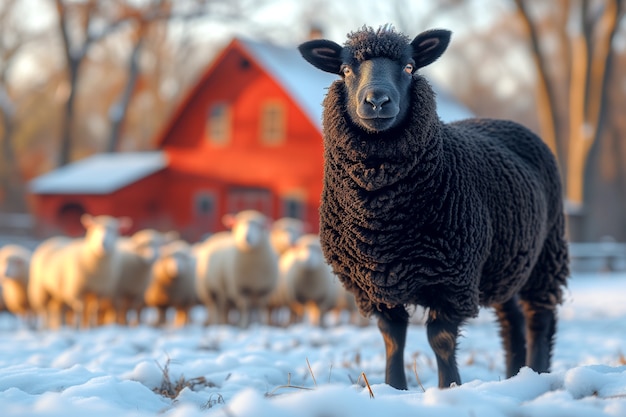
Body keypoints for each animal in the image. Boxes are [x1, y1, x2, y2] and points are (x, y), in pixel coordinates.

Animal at [296, 26, 564, 388]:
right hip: (506, 260)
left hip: (547, 253)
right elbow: (392, 336)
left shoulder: (452, 278)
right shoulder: (375, 284)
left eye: (409, 67)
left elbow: (440, 339)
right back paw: (514, 376)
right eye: (346, 69)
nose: (377, 101)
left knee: (540, 317)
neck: (382, 220)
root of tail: (504, 121)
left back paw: (536, 373)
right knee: (512, 321)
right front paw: (394, 386)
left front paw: (449, 386)